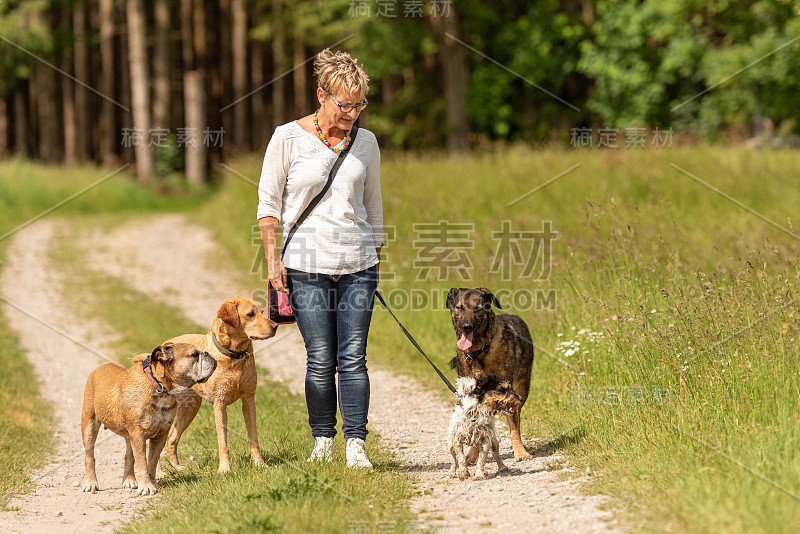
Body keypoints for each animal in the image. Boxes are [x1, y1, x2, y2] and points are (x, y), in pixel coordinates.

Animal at [80, 344, 216, 498]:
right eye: (194, 355)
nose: (208, 354)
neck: (159, 386)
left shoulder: (161, 434)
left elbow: (152, 461)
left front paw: (152, 483)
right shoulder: (138, 434)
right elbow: (142, 463)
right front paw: (146, 486)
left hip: (129, 435)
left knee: (129, 455)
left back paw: (129, 480)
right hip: (89, 424)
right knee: (89, 455)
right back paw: (90, 483)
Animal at [159, 298, 278, 478]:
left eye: (263, 312)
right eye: (250, 314)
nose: (275, 326)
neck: (234, 356)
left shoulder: (249, 400)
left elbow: (254, 437)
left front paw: (259, 464)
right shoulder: (219, 404)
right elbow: (223, 442)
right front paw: (225, 469)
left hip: (190, 407)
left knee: (172, 437)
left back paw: (178, 468)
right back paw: (159, 473)